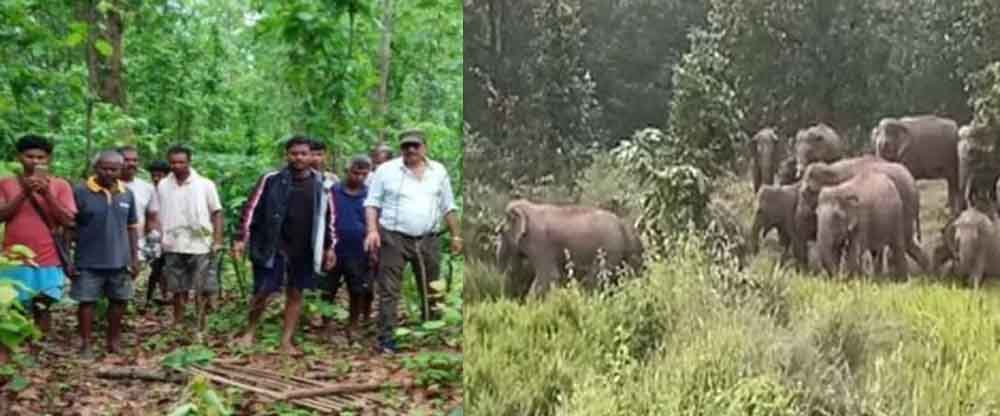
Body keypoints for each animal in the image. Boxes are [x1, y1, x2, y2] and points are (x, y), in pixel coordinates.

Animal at [496, 200, 644, 298]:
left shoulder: (540, 242)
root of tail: (622, 224)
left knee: (597, 277)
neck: (529, 208)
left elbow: (549, 275)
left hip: (608, 249)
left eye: (501, 232)